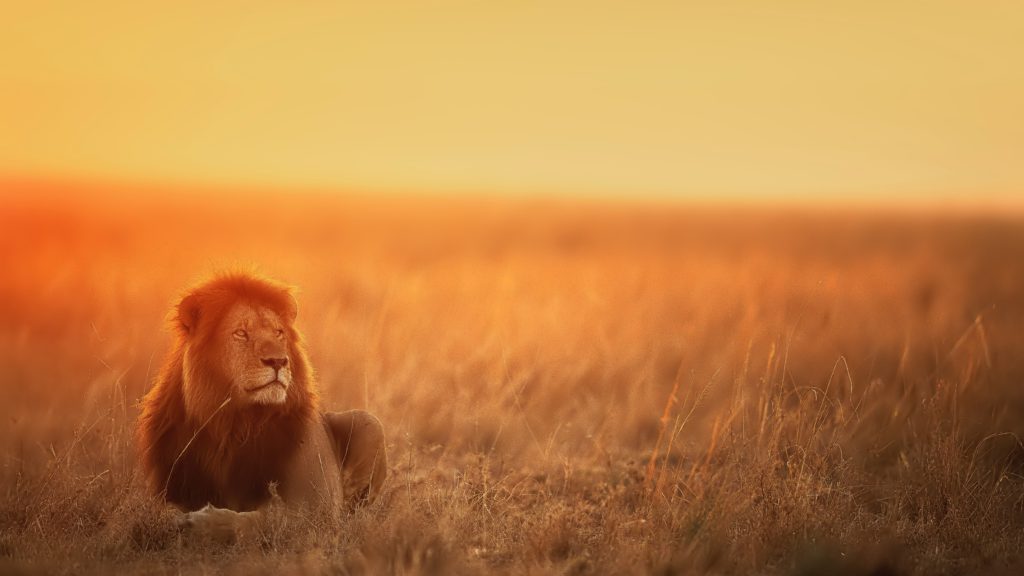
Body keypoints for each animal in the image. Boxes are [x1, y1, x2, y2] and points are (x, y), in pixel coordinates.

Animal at [136, 272, 387, 535]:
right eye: (240, 333)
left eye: (278, 332)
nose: (278, 361)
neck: (233, 424)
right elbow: (158, 512)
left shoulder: (315, 508)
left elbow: (262, 519)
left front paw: (204, 523)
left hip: (369, 423)